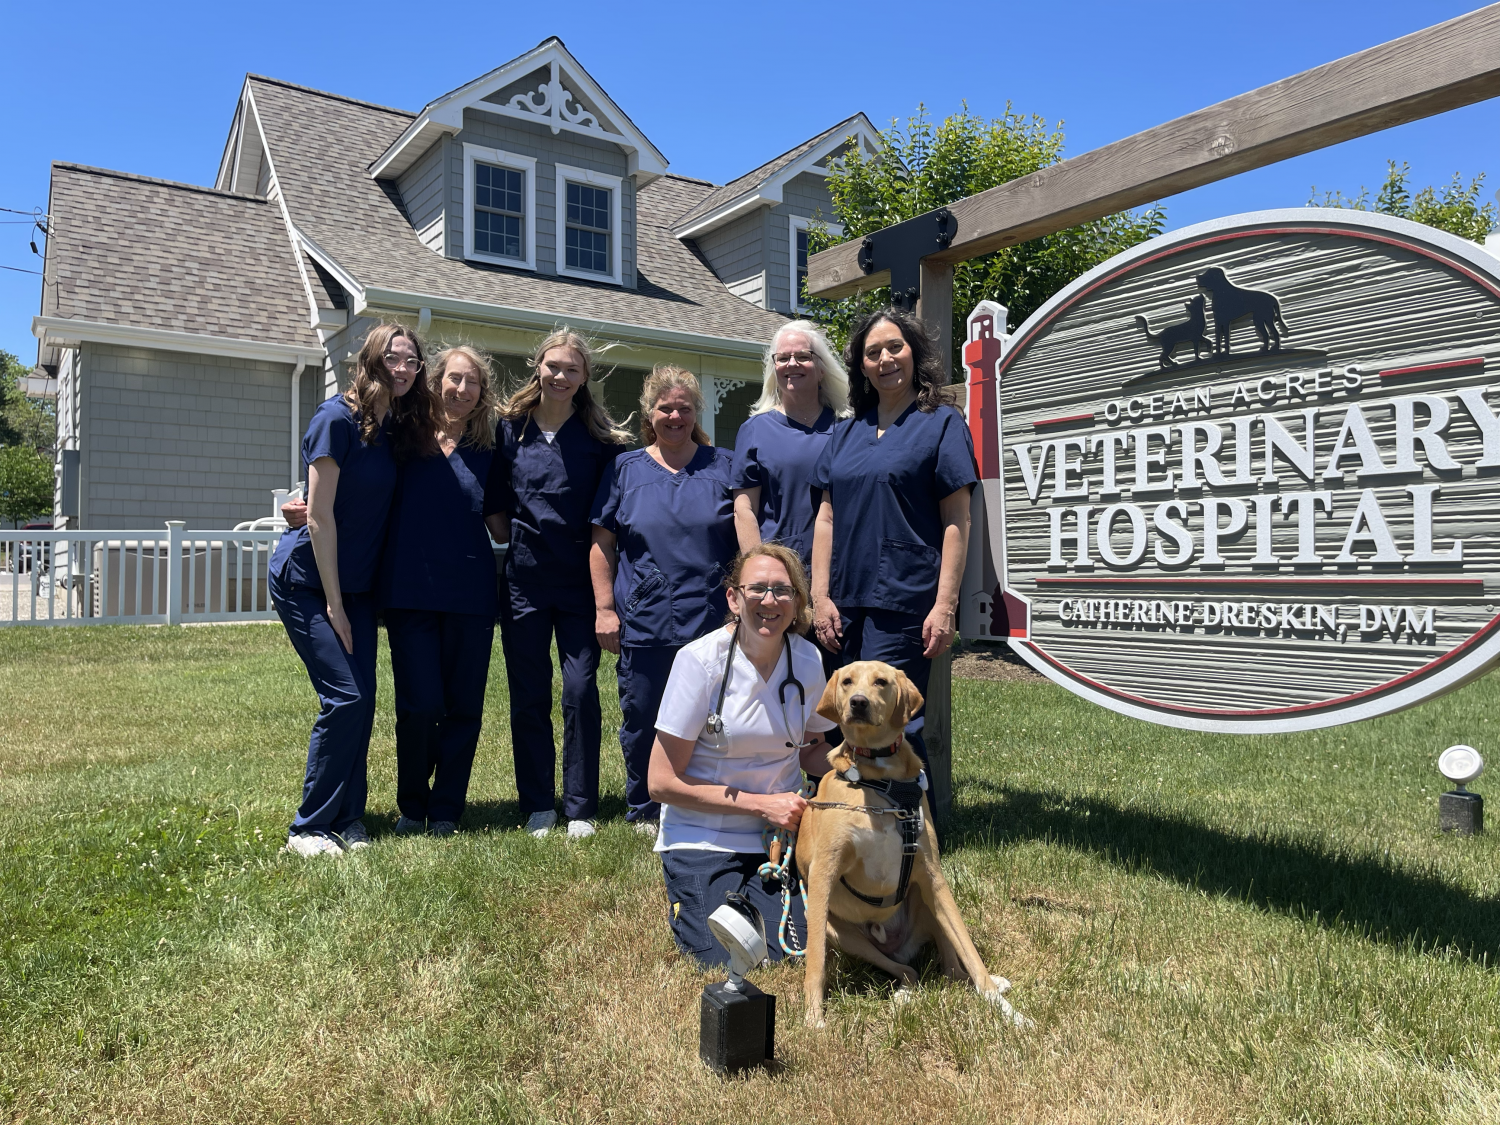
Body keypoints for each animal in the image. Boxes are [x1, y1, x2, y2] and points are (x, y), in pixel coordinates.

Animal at [792, 660, 1026, 1032]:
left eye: (881, 682)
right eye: (847, 681)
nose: (858, 703)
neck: (879, 780)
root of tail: (896, 944)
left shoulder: (933, 876)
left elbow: (970, 953)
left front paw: (1008, 1012)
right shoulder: (822, 875)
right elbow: (815, 961)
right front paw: (814, 1018)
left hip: (928, 902)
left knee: (950, 970)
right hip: (839, 931)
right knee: (907, 971)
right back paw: (902, 995)